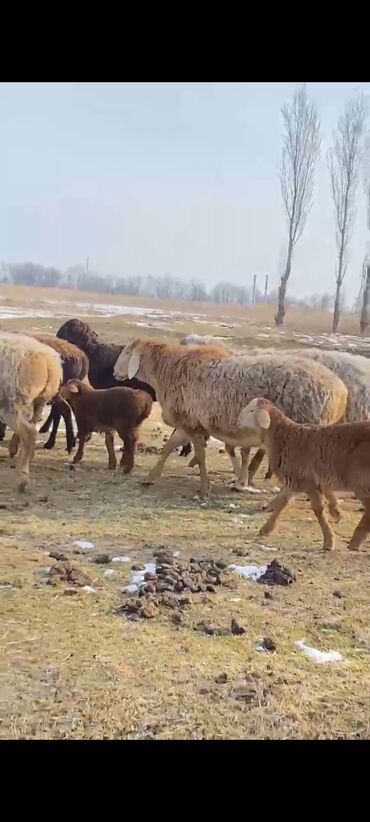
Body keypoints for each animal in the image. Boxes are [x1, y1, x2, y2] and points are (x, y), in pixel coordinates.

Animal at [112, 338, 346, 498]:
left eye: (126, 352)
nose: (114, 372)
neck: (167, 370)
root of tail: (341, 392)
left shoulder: (191, 423)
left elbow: (200, 456)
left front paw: (204, 489)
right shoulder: (189, 423)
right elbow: (169, 447)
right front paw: (150, 478)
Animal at [238, 400, 370, 552]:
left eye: (251, 410)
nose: (237, 422)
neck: (283, 438)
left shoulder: (309, 481)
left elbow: (318, 510)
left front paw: (329, 541)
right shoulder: (295, 480)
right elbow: (282, 502)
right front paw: (266, 528)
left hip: (360, 481)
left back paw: (356, 540)